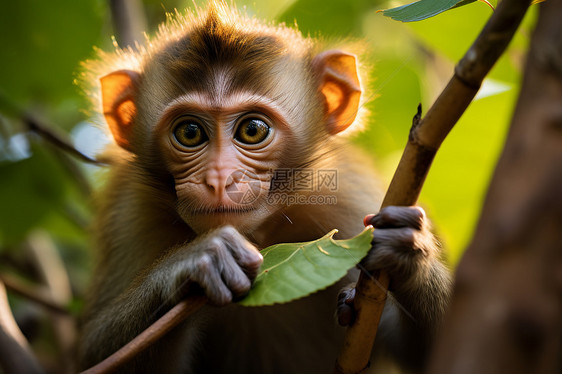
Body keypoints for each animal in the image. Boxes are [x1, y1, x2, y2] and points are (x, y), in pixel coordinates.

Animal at [79, 3, 448, 374]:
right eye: (190, 133)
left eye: (252, 129)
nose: (219, 179)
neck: (262, 234)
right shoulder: (131, 212)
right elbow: (91, 352)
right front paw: (193, 261)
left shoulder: (351, 196)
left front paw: (409, 249)